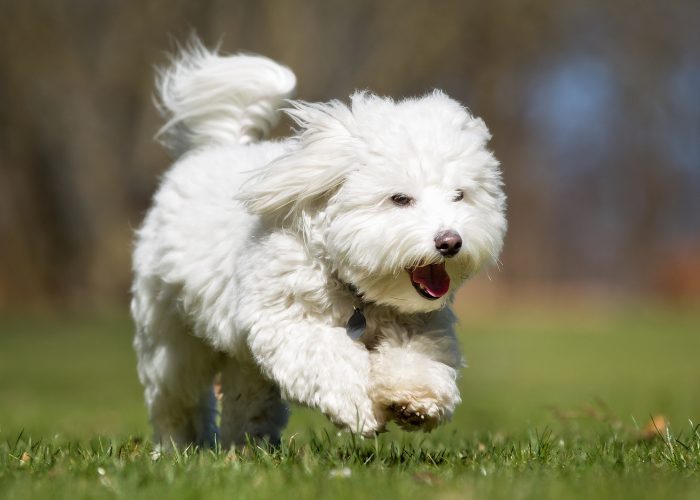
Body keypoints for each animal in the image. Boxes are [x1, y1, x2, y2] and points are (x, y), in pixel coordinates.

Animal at [130, 42, 504, 450]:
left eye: (459, 195)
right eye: (400, 199)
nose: (450, 241)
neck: (354, 289)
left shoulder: (420, 323)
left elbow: (417, 356)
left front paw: (415, 398)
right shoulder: (287, 321)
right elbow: (330, 359)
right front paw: (360, 407)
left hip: (241, 357)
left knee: (247, 394)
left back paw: (247, 444)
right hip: (170, 337)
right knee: (177, 397)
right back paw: (178, 446)